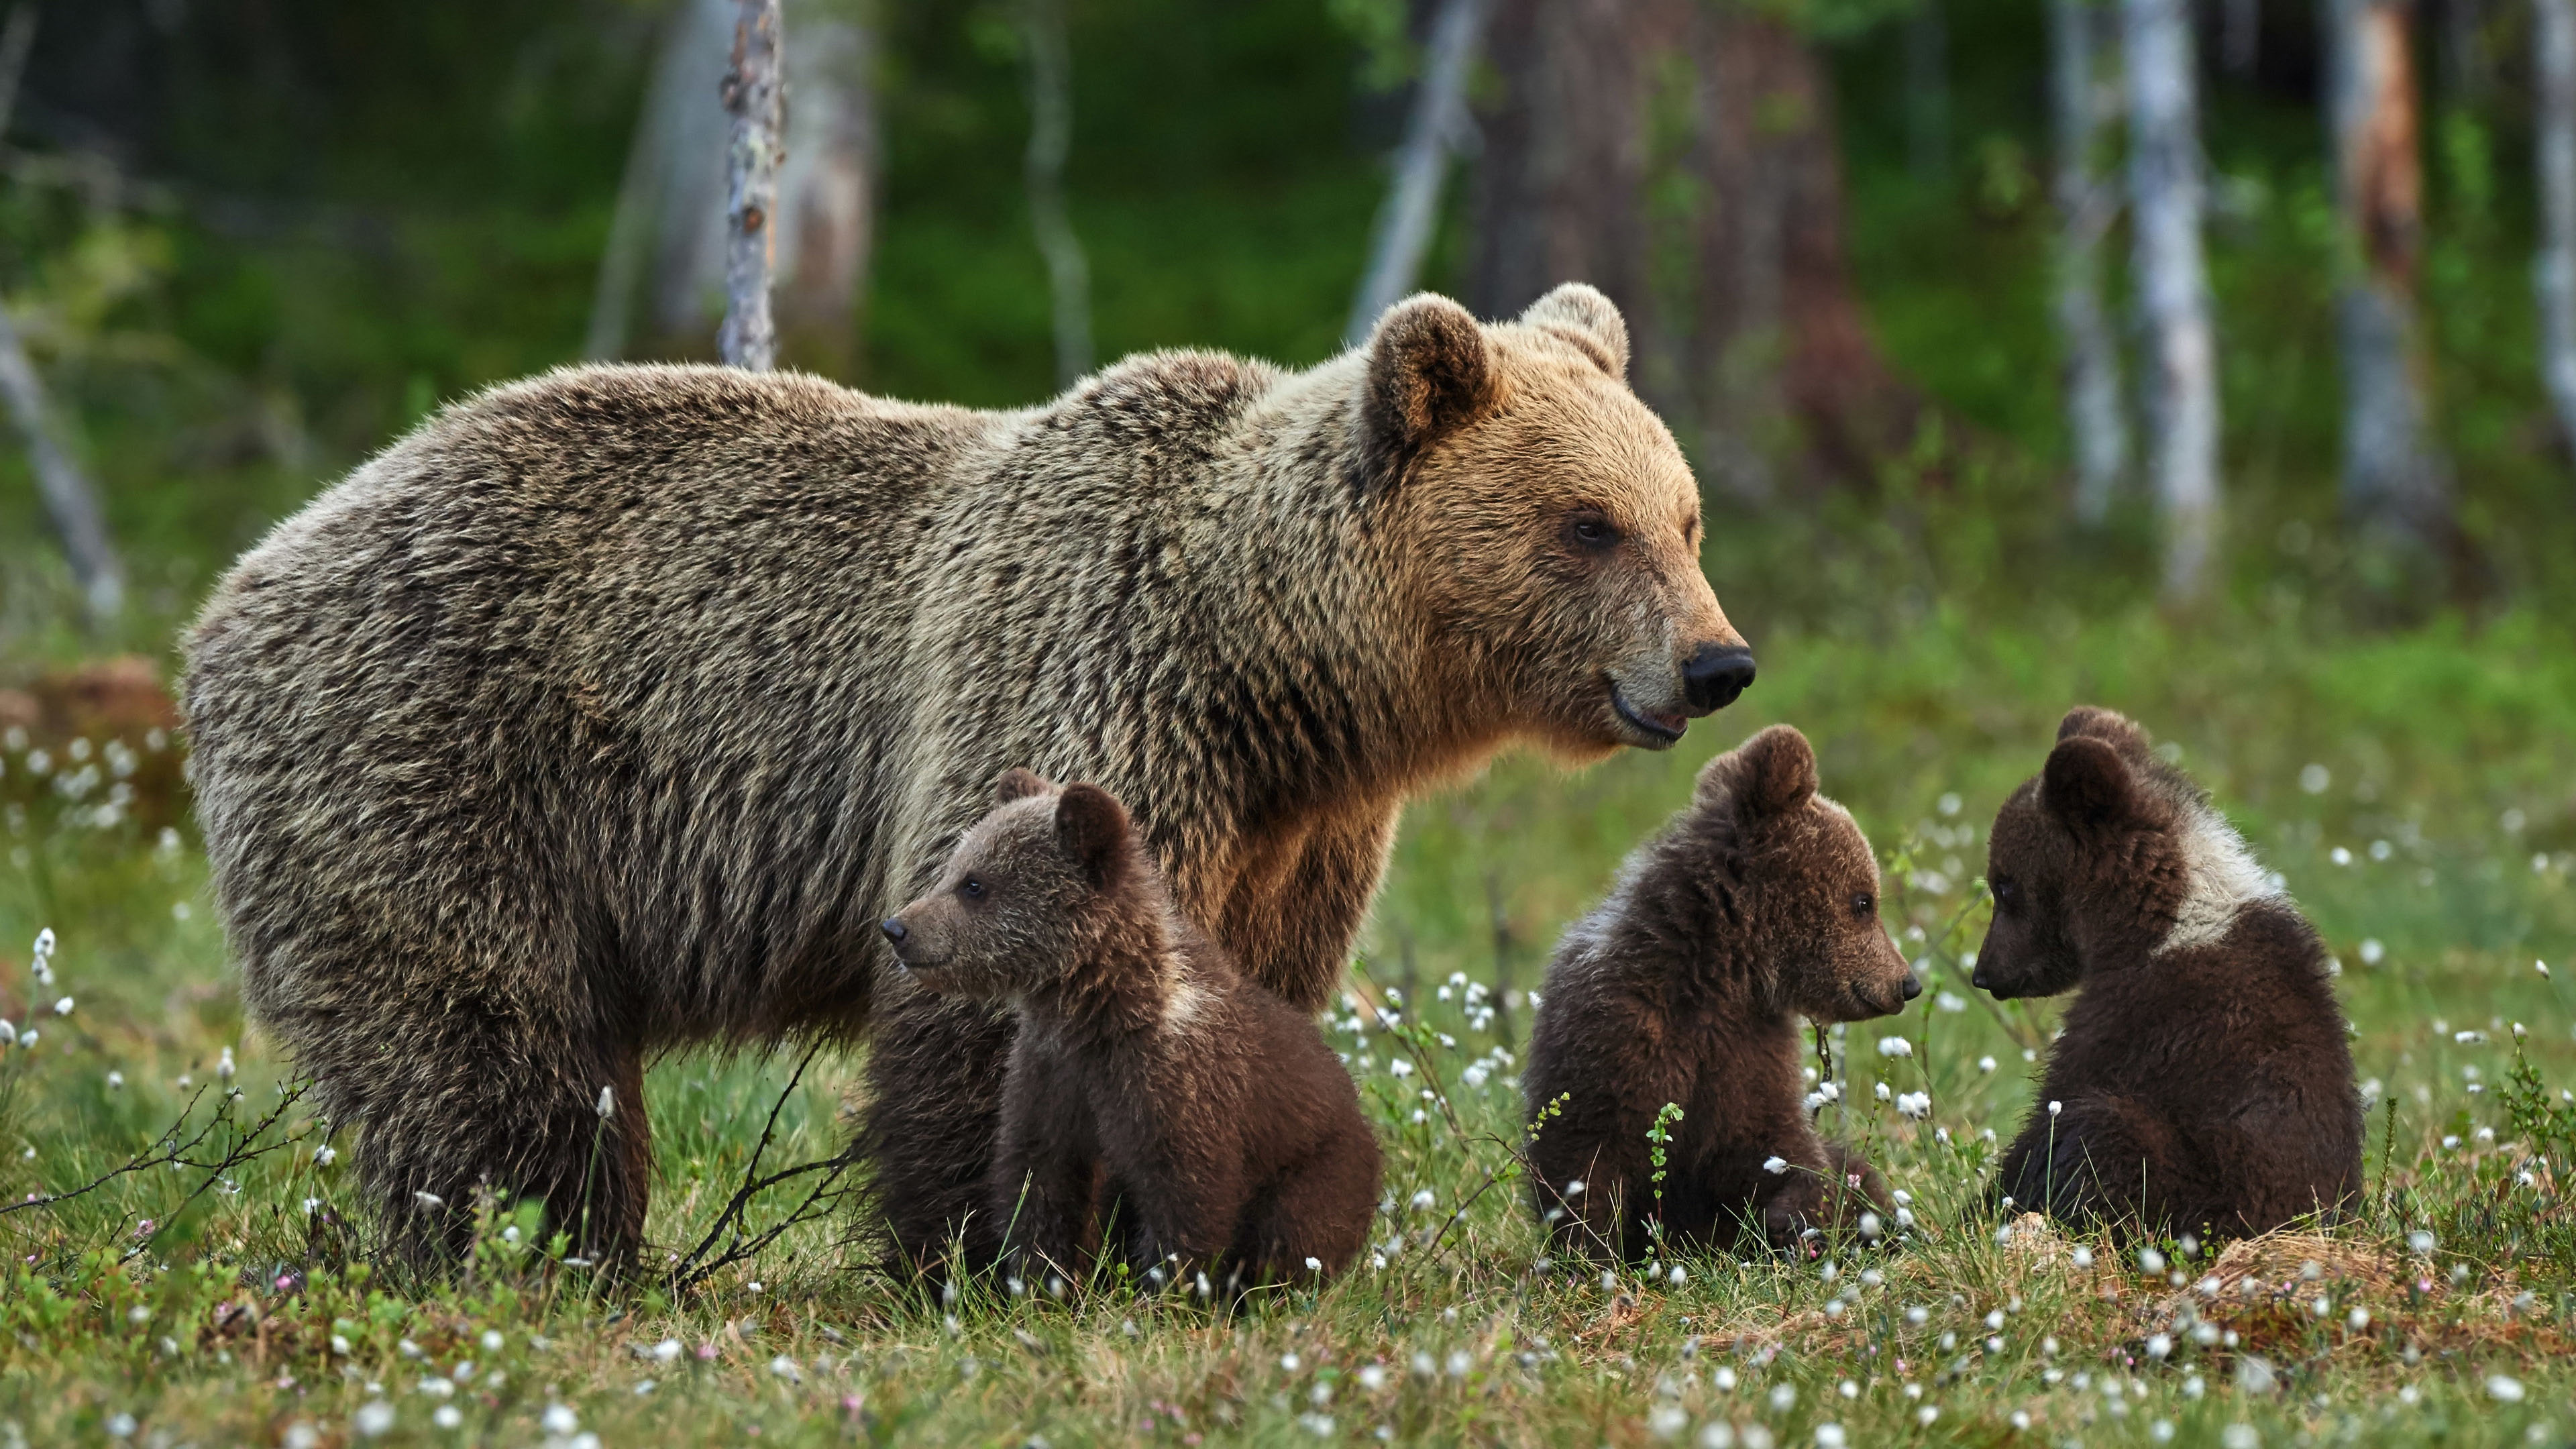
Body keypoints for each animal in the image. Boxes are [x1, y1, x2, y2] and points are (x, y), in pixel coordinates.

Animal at [881, 768, 1381, 1284]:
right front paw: (1042, 1280)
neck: (1098, 1008)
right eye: (955, 867)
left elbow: (1187, 1202)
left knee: (1292, 1234)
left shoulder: (1177, 1088)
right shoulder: (1049, 1076)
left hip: (1318, 1166)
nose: (896, 928)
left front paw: (1165, 1286)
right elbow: (1039, 1184)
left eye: (975, 884)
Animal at [1514, 727, 1927, 1258]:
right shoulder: (1615, 1031)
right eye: (1864, 902)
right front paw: (1589, 1255)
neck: (1719, 974)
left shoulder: (1749, 1053)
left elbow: (1780, 1149)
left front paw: (1797, 1219)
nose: (1907, 983)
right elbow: (1583, 1157)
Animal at [1978, 706, 2359, 1237]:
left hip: (2204, 1194)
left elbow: (2055, 1106)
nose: (1985, 973)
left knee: (2101, 1128)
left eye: (2005, 884)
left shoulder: (2142, 1021)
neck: (2155, 924)